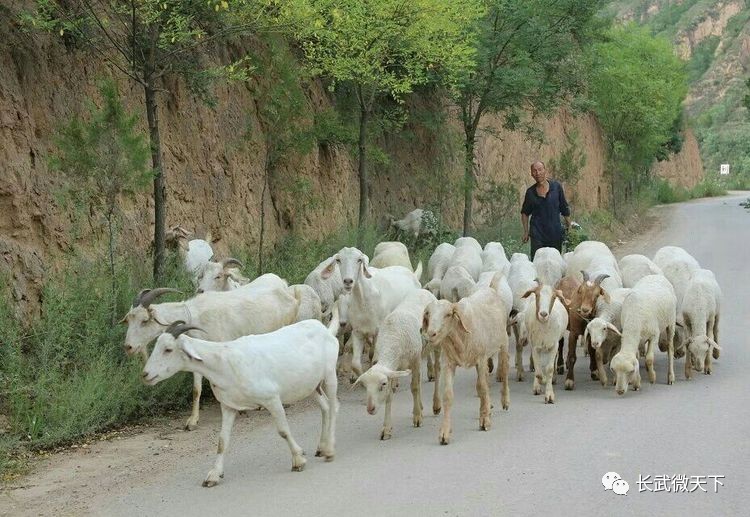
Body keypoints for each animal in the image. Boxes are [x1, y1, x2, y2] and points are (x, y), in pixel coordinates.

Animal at [122, 284, 302, 430]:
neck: (196, 316)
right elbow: (196, 389)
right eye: (129, 320)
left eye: (145, 320)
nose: (128, 347)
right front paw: (192, 421)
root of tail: (289, 294)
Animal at [142, 314, 340, 488]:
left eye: (168, 349)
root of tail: (324, 330)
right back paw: (322, 447)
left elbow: (283, 431)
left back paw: (330, 451)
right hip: (310, 385)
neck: (224, 362)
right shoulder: (228, 406)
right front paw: (213, 476)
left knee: (333, 407)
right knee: (325, 407)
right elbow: (222, 441)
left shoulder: (272, 399)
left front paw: (298, 460)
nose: (145, 374)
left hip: (330, 375)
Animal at [318, 248, 424, 380]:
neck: (364, 301)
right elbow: (355, 363)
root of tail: (413, 275)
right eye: (338, 260)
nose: (348, 281)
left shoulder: (379, 331)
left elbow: (373, 357)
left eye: (359, 260)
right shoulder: (357, 331)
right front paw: (357, 377)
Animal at [354, 290, 438, 440]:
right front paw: (386, 428)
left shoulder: (415, 361)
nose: (370, 409)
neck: (392, 336)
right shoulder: (394, 369)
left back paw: (435, 405)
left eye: (382, 384)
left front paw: (417, 417)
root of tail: (424, 290)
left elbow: (414, 387)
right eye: (365, 386)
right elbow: (390, 396)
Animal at [424, 278, 512, 444]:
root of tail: (491, 289)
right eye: (428, 314)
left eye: (448, 314)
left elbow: (482, 388)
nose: (431, 334)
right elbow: (448, 395)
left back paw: (505, 401)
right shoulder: (449, 363)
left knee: (503, 370)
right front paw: (445, 432)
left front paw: (484, 421)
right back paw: (489, 405)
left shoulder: (481, 359)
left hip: (503, 342)